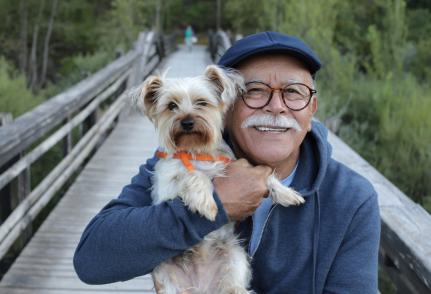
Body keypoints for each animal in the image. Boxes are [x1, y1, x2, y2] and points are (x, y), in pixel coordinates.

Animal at [137, 65, 306, 292]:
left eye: (202, 102)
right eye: (171, 106)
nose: (187, 122)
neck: (197, 150)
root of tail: (201, 286)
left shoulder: (235, 164)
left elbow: (266, 176)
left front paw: (287, 193)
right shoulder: (166, 187)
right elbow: (192, 174)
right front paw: (207, 204)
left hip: (235, 258)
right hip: (167, 273)